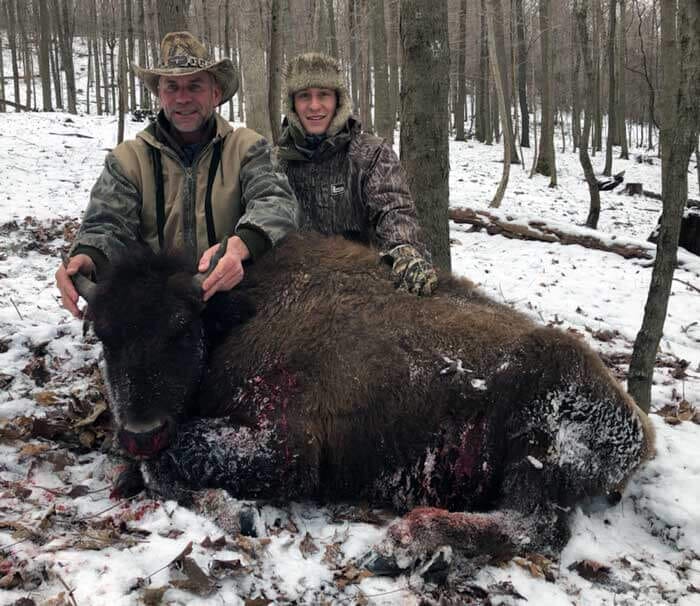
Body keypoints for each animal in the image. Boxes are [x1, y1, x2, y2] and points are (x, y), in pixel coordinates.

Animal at [71, 234, 652, 576]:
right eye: (102, 334)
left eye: (180, 326)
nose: (139, 430)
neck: (238, 316)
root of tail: (639, 431)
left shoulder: (286, 448)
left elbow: (170, 464)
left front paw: (238, 512)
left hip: (536, 440)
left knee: (536, 528)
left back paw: (404, 543)